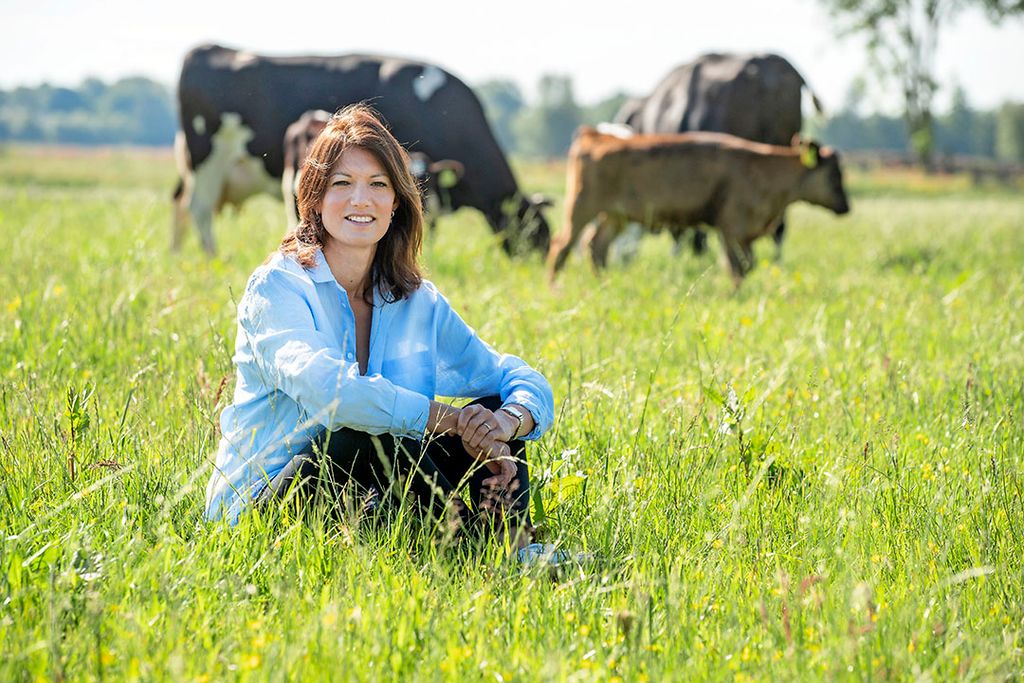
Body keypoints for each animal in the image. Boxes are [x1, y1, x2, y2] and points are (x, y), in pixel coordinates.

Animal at [174, 44, 552, 255]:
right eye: (535, 235)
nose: (534, 270)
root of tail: (209, 48)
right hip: (206, 160)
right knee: (199, 209)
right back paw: (211, 257)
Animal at [548, 129, 851, 286]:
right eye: (834, 174)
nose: (846, 207)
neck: (764, 168)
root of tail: (596, 135)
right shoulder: (732, 228)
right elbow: (737, 267)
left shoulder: (742, 234)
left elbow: (747, 265)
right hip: (580, 208)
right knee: (562, 245)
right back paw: (555, 288)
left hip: (614, 216)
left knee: (596, 247)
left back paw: (603, 283)